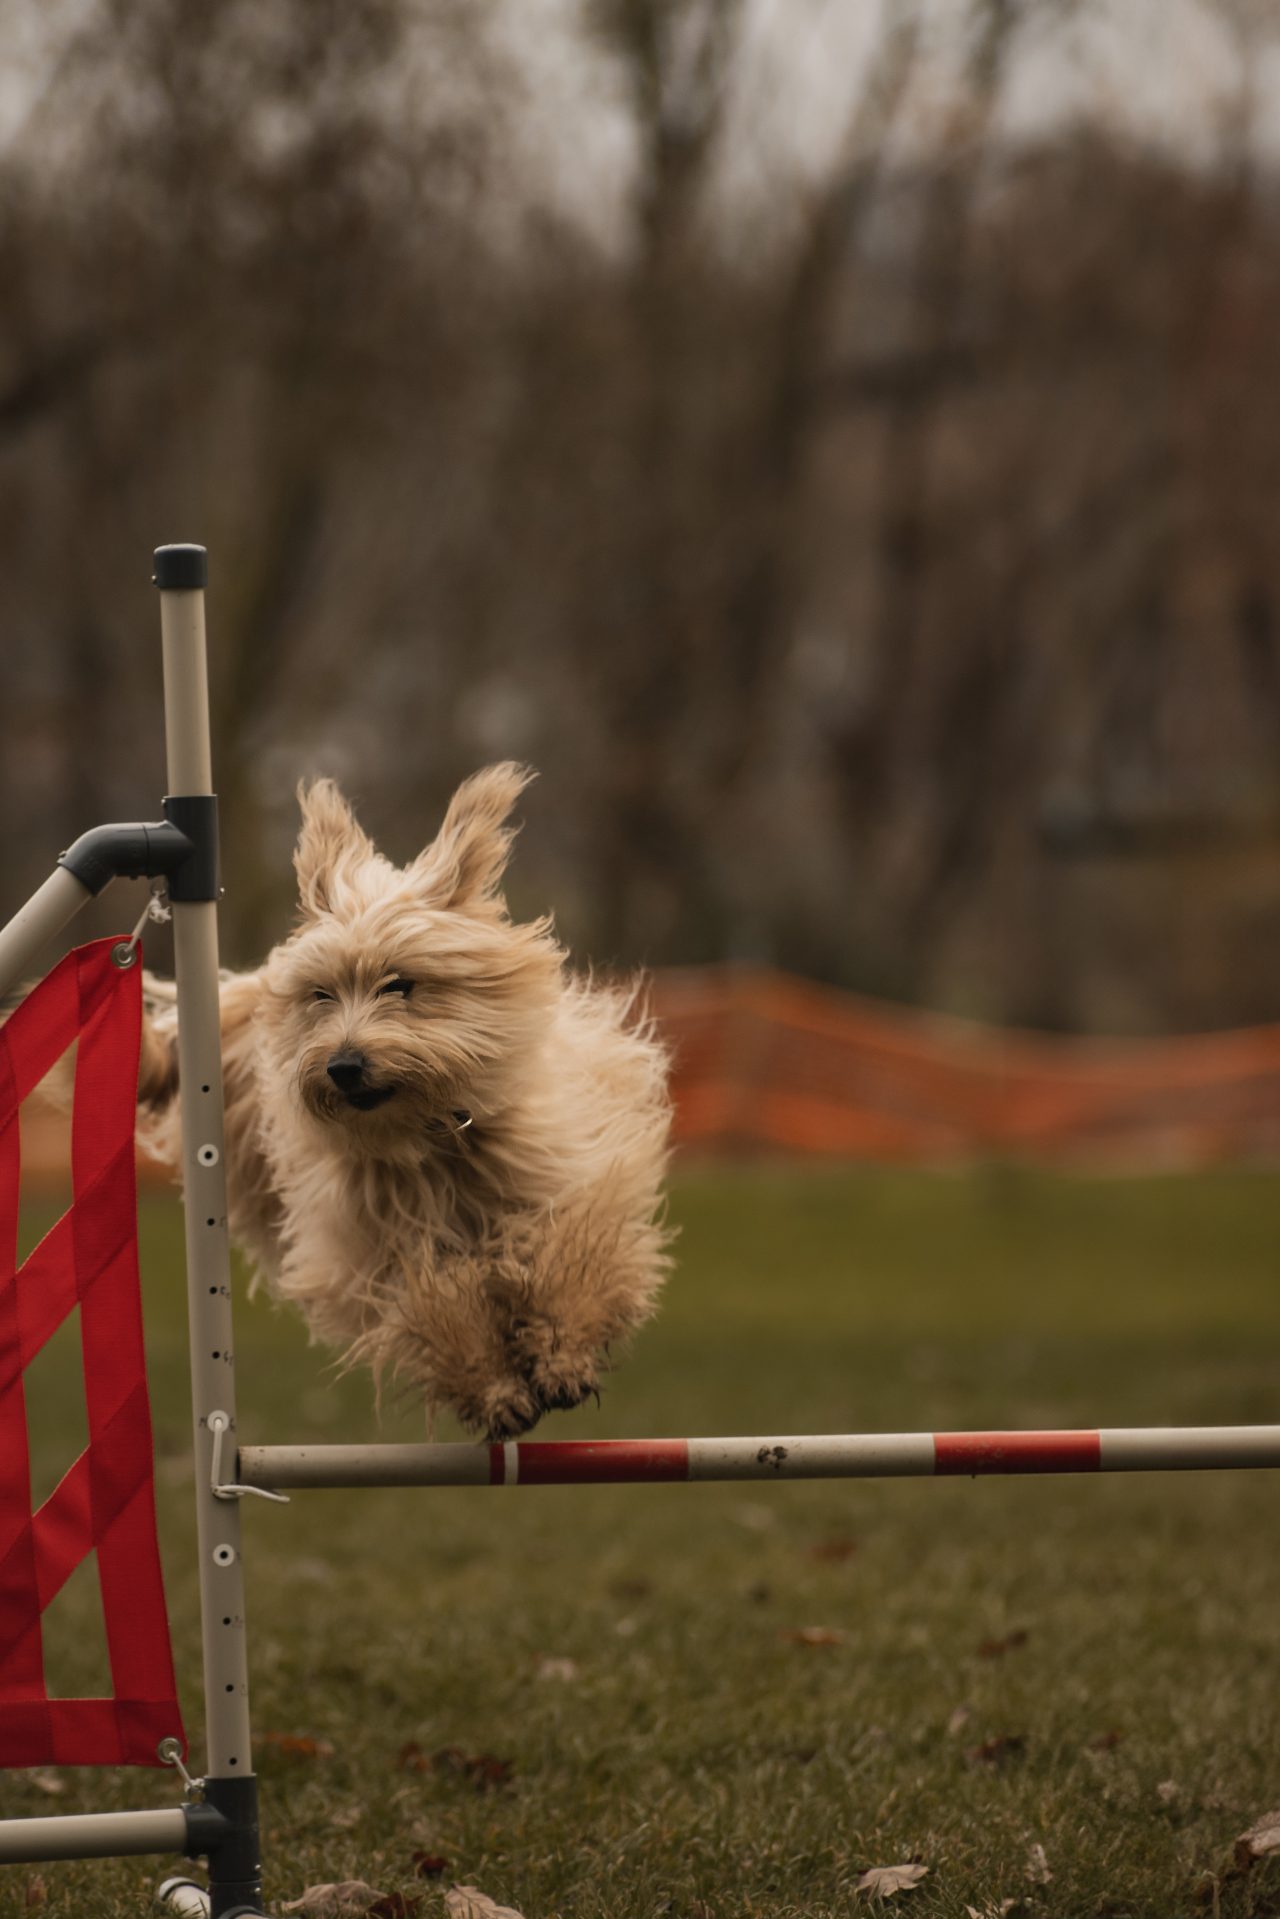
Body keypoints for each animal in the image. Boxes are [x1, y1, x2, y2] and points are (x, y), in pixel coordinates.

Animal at [136, 763, 675, 1443]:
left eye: (400, 984)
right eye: (321, 994)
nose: (343, 1066)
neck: (430, 1138)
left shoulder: (567, 1181)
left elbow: (567, 1260)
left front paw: (562, 1359)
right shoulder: (380, 1253)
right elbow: (435, 1303)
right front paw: (496, 1392)